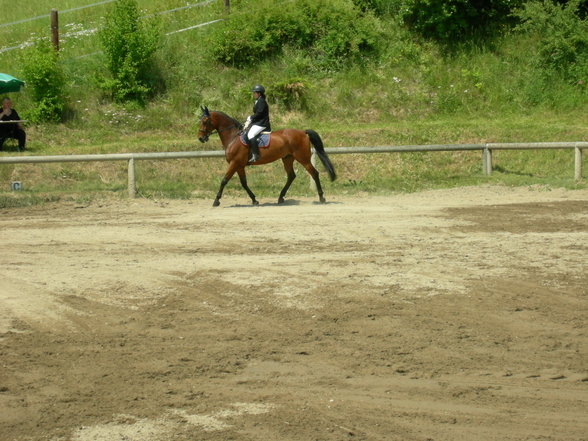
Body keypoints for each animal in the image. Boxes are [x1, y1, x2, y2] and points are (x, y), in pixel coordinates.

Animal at [198, 106, 336, 206]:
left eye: (205, 121)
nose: (200, 138)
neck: (233, 136)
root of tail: (303, 132)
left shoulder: (234, 163)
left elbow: (224, 180)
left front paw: (216, 201)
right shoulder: (240, 165)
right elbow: (244, 183)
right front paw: (254, 200)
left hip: (303, 158)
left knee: (314, 173)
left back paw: (321, 197)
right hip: (287, 158)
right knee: (291, 176)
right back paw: (280, 198)